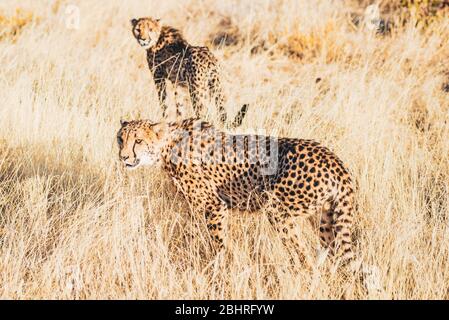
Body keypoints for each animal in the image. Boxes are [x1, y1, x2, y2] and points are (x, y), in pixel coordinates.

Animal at [117, 119, 356, 264]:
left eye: (138, 140)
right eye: (121, 138)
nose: (123, 157)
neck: (166, 146)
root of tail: (335, 161)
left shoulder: (214, 205)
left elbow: (217, 241)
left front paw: (218, 265)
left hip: (277, 211)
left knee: (303, 255)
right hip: (325, 219)